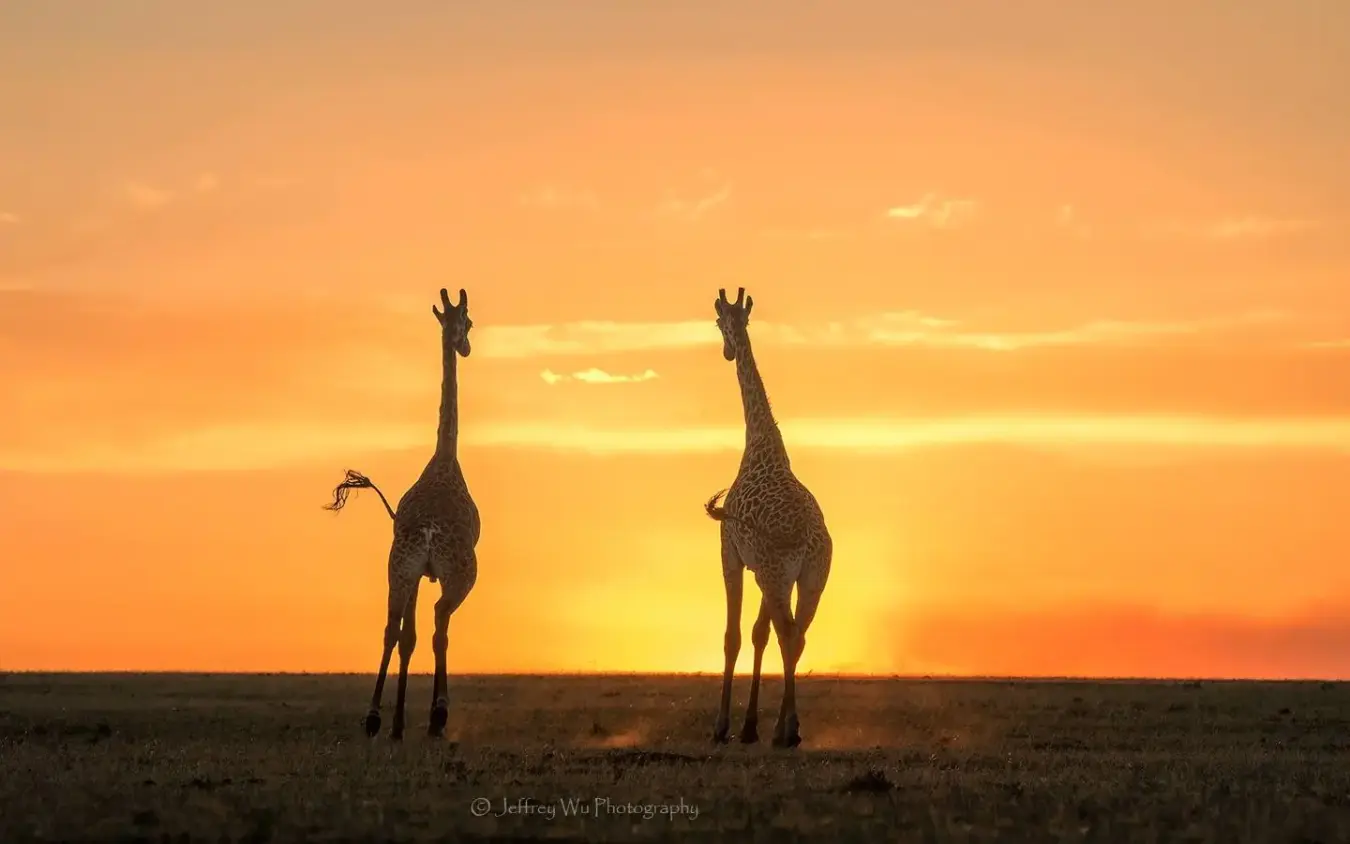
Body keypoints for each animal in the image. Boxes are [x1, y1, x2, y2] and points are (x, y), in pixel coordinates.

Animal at [324, 287, 481, 741]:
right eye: (469, 322)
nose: (466, 346)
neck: (445, 458)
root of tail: (427, 532)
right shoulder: (435, 573)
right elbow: (426, 633)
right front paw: (423, 717)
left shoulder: (416, 572)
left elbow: (405, 637)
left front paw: (395, 722)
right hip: (460, 573)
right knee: (440, 620)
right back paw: (437, 717)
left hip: (397, 568)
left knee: (391, 627)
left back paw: (376, 718)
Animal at [705, 287, 832, 749]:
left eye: (719, 321)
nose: (727, 350)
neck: (760, 440)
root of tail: (810, 541)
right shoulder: (760, 566)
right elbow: (758, 635)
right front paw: (748, 726)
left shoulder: (731, 554)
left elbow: (734, 636)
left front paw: (723, 725)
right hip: (812, 578)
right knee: (797, 634)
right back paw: (785, 727)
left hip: (778, 575)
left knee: (787, 631)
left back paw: (787, 730)